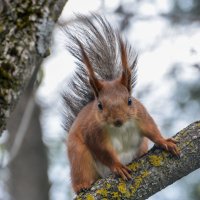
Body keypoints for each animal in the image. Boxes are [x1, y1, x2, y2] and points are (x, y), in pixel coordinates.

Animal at [61, 14, 180, 194]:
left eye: (130, 100)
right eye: (100, 105)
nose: (118, 120)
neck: (120, 128)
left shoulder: (141, 115)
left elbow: (152, 130)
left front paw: (164, 142)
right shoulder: (93, 133)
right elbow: (104, 153)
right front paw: (117, 166)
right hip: (79, 157)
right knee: (81, 172)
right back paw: (82, 186)